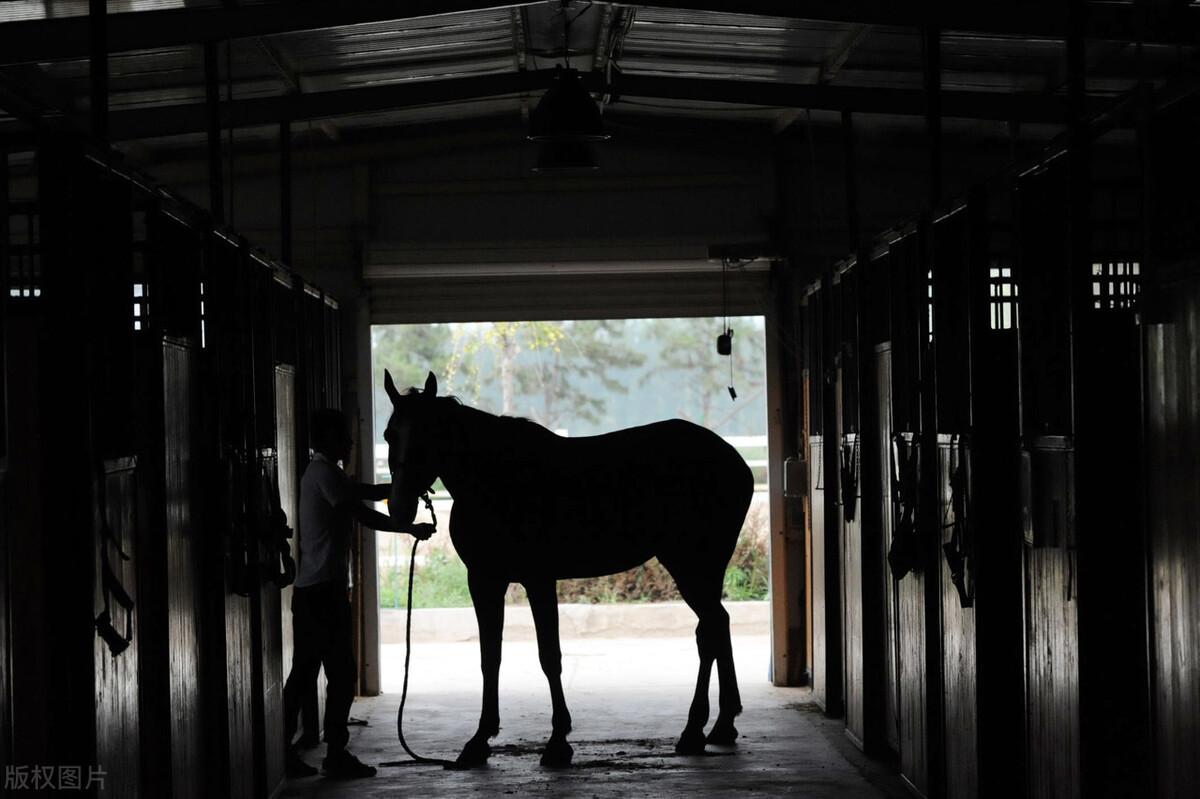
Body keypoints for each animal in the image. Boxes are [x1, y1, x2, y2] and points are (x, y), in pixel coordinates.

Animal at [384, 369, 753, 763]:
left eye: (428, 434)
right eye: (390, 435)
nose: (400, 508)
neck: (498, 479)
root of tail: (735, 460)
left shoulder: (538, 579)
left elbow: (550, 655)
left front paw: (558, 741)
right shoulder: (485, 580)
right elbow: (490, 657)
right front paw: (479, 739)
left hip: (690, 564)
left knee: (710, 629)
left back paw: (693, 730)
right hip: (702, 568)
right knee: (717, 625)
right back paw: (722, 725)